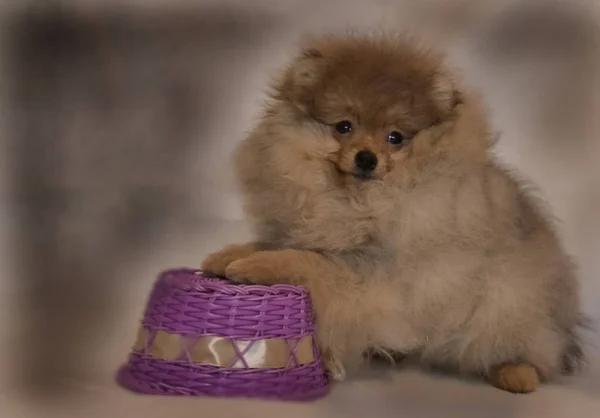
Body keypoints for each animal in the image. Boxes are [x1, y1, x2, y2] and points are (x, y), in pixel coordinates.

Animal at [200, 34, 580, 394]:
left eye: (395, 137)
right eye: (344, 127)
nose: (367, 158)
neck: (358, 199)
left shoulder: (373, 270)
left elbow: (308, 261)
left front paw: (255, 266)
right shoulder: (316, 233)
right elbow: (281, 243)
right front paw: (228, 256)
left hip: (506, 303)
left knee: (531, 351)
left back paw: (517, 373)